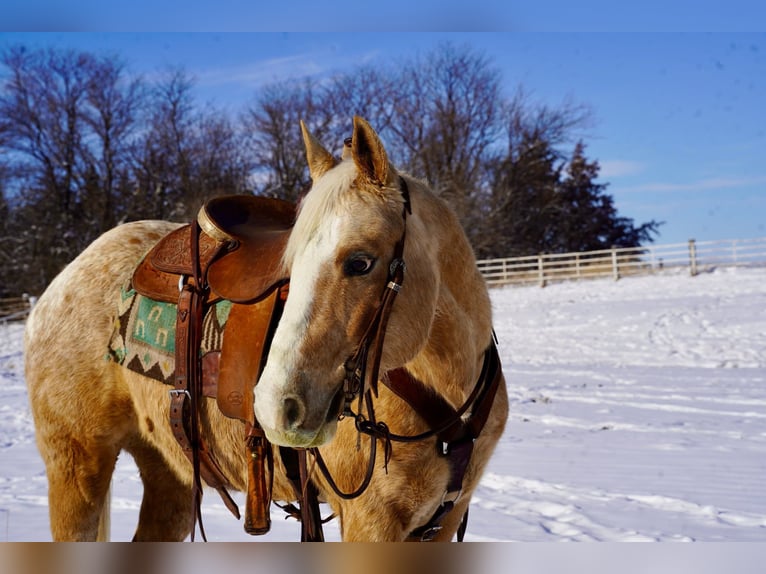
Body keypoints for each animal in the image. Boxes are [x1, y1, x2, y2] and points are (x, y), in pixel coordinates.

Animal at [24, 117, 510, 544]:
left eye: (360, 262)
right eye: (289, 266)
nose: (278, 407)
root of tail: (58, 286)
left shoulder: (445, 518)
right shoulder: (371, 521)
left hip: (168, 471)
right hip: (76, 467)